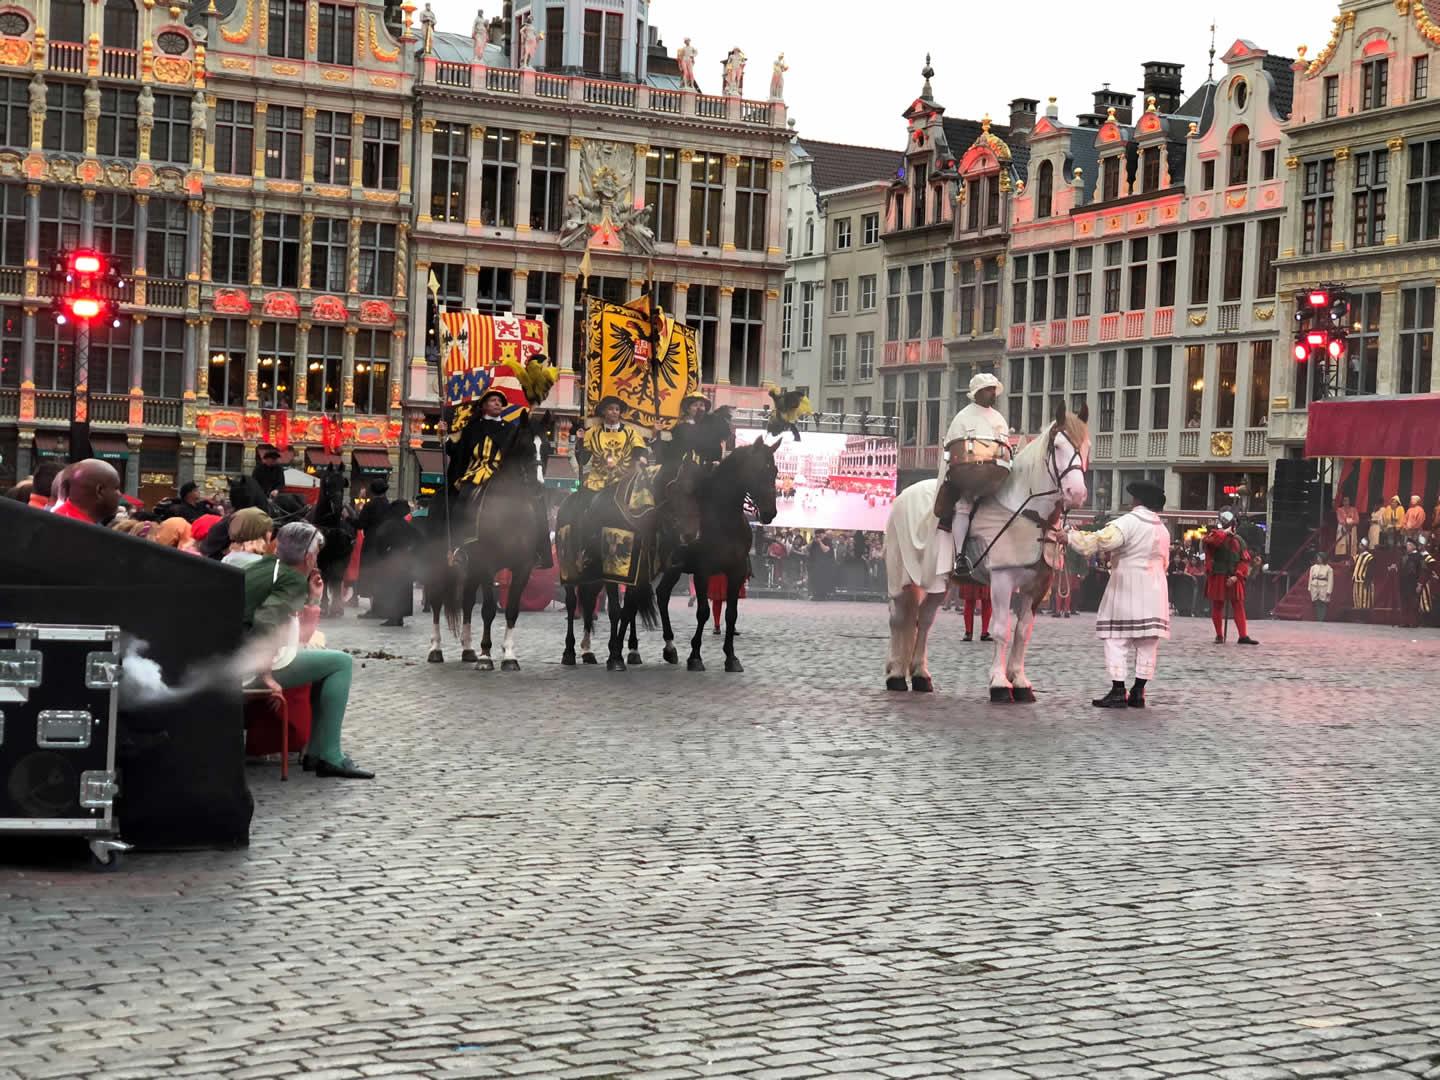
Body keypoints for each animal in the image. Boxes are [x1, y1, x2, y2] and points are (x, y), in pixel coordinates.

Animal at [305, 466, 355, 616]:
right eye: (327, 482)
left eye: (343, 483)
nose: (337, 507)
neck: (330, 526)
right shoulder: (322, 556)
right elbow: (325, 576)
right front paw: (324, 605)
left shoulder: (342, 555)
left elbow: (337, 576)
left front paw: (337, 607)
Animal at [423, 420, 547, 668]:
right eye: (526, 446)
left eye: (546, 447)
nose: (539, 486)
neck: (510, 510)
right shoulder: (488, 566)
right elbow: (489, 609)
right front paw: (486, 655)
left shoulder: (522, 568)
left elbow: (511, 610)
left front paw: (509, 655)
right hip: (442, 563)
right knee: (437, 600)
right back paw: (436, 648)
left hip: (471, 568)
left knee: (467, 601)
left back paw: (468, 649)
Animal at [875, 403, 1088, 702]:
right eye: (1057, 446)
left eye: (1086, 446)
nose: (1076, 492)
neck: (1027, 514)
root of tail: (903, 495)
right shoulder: (1001, 580)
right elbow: (1000, 630)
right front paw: (999, 683)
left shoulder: (1038, 587)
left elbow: (1022, 632)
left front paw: (1020, 681)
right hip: (901, 578)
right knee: (898, 619)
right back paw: (895, 675)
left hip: (937, 582)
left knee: (924, 620)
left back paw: (920, 675)